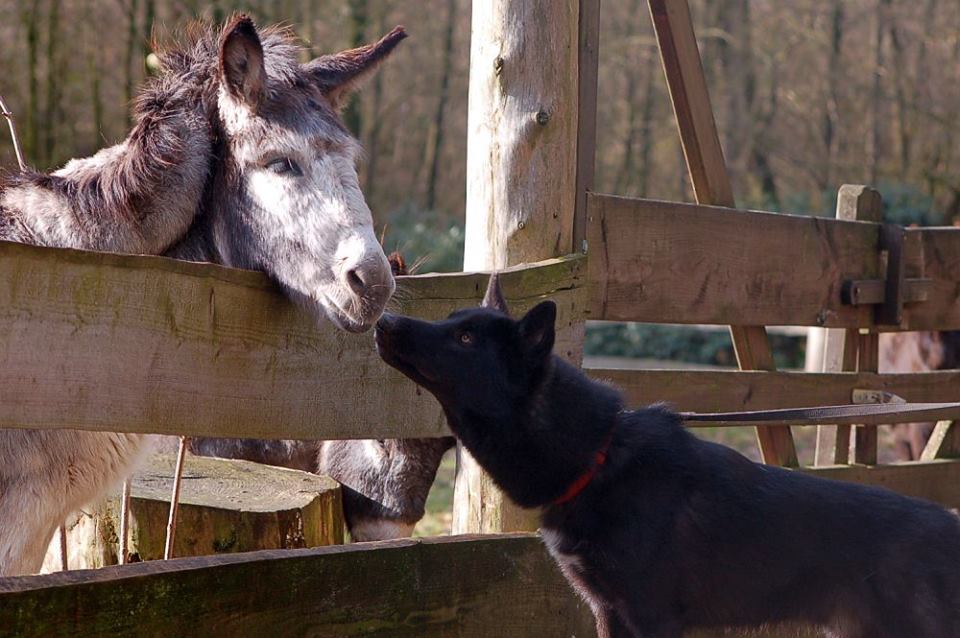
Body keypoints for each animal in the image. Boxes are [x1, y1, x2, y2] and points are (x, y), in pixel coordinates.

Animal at [374, 276, 960, 638]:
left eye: (466, 338)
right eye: (452, 320)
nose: (383, 322)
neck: (596, 456)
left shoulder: (650, 616)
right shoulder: (610, 613)